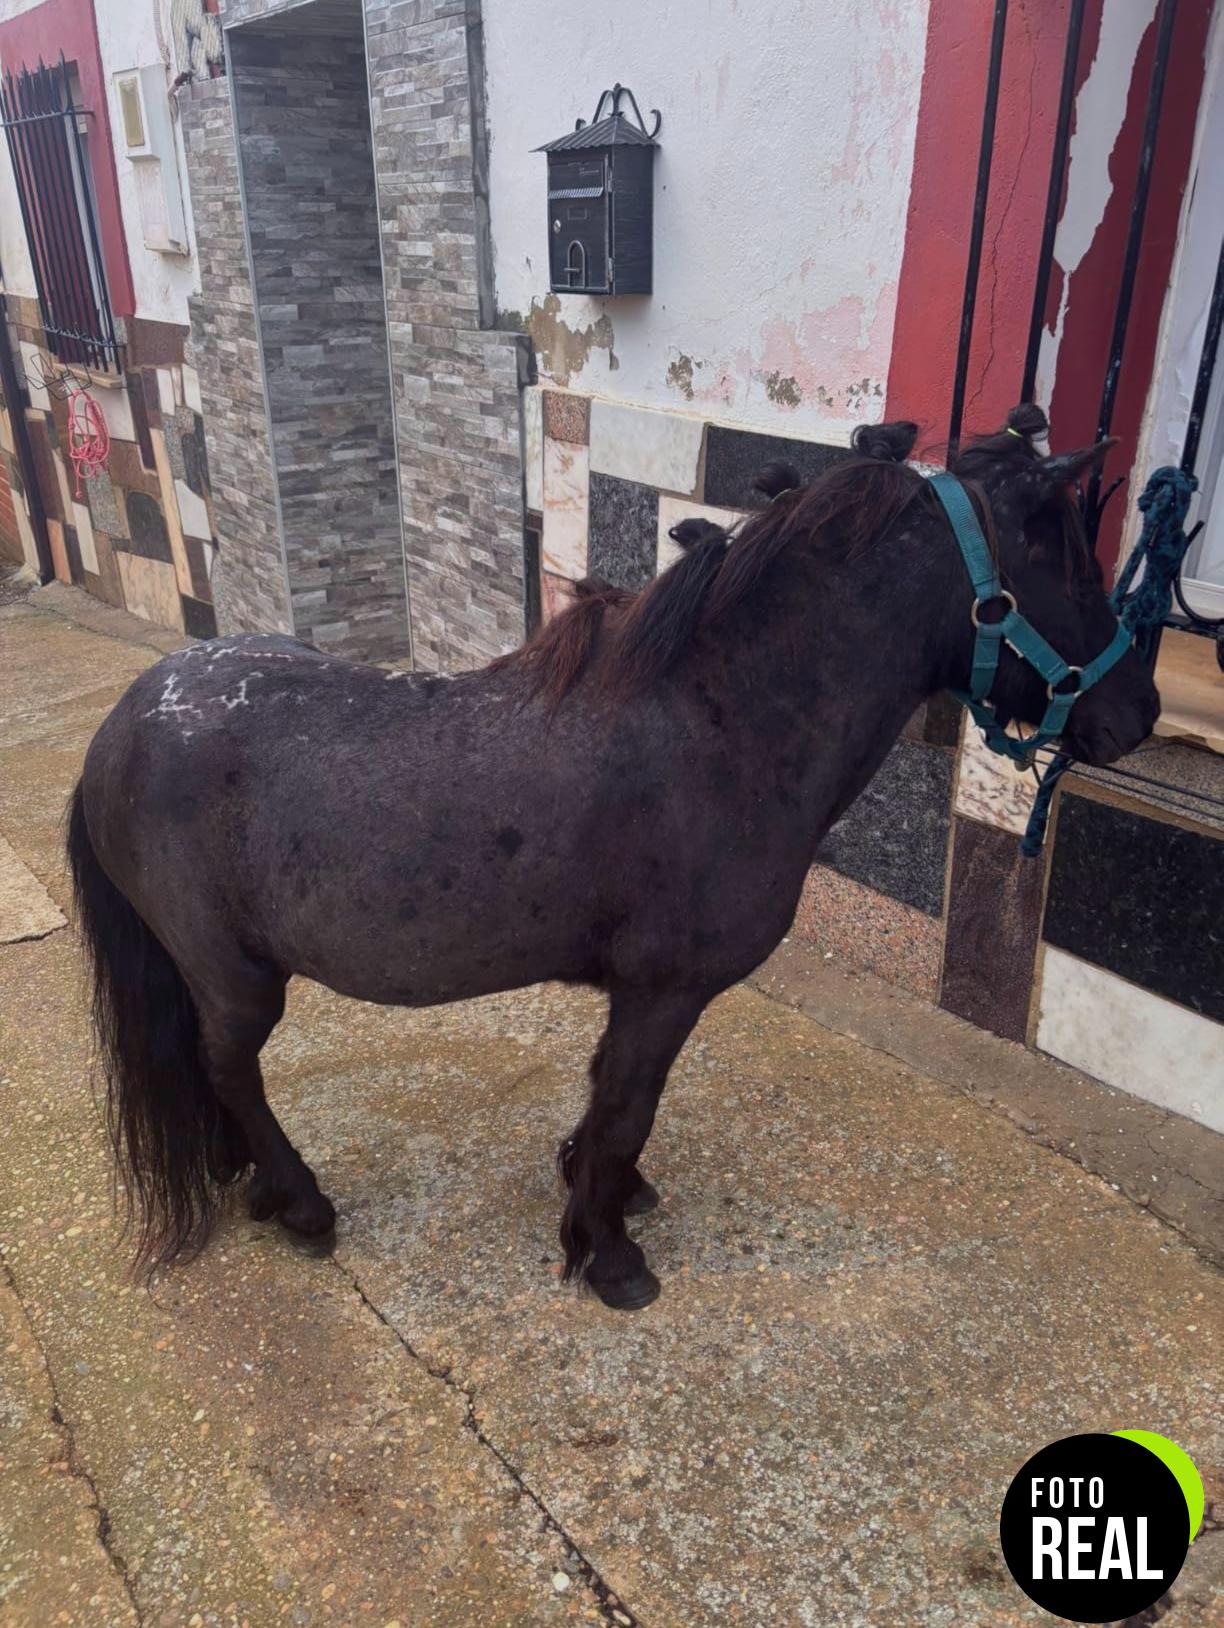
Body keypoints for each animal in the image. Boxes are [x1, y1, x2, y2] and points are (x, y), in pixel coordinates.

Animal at [67, 405, 1159, 1311]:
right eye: (1069, 558)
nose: (1138, 714)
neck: (720, 721)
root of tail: (122, 727)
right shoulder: (662, 990)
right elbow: (628, 1104)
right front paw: (608, 1252)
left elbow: (610, 1108)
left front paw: (609, 1198)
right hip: (236, 974)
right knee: (229, 1063)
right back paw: (298, 1201)